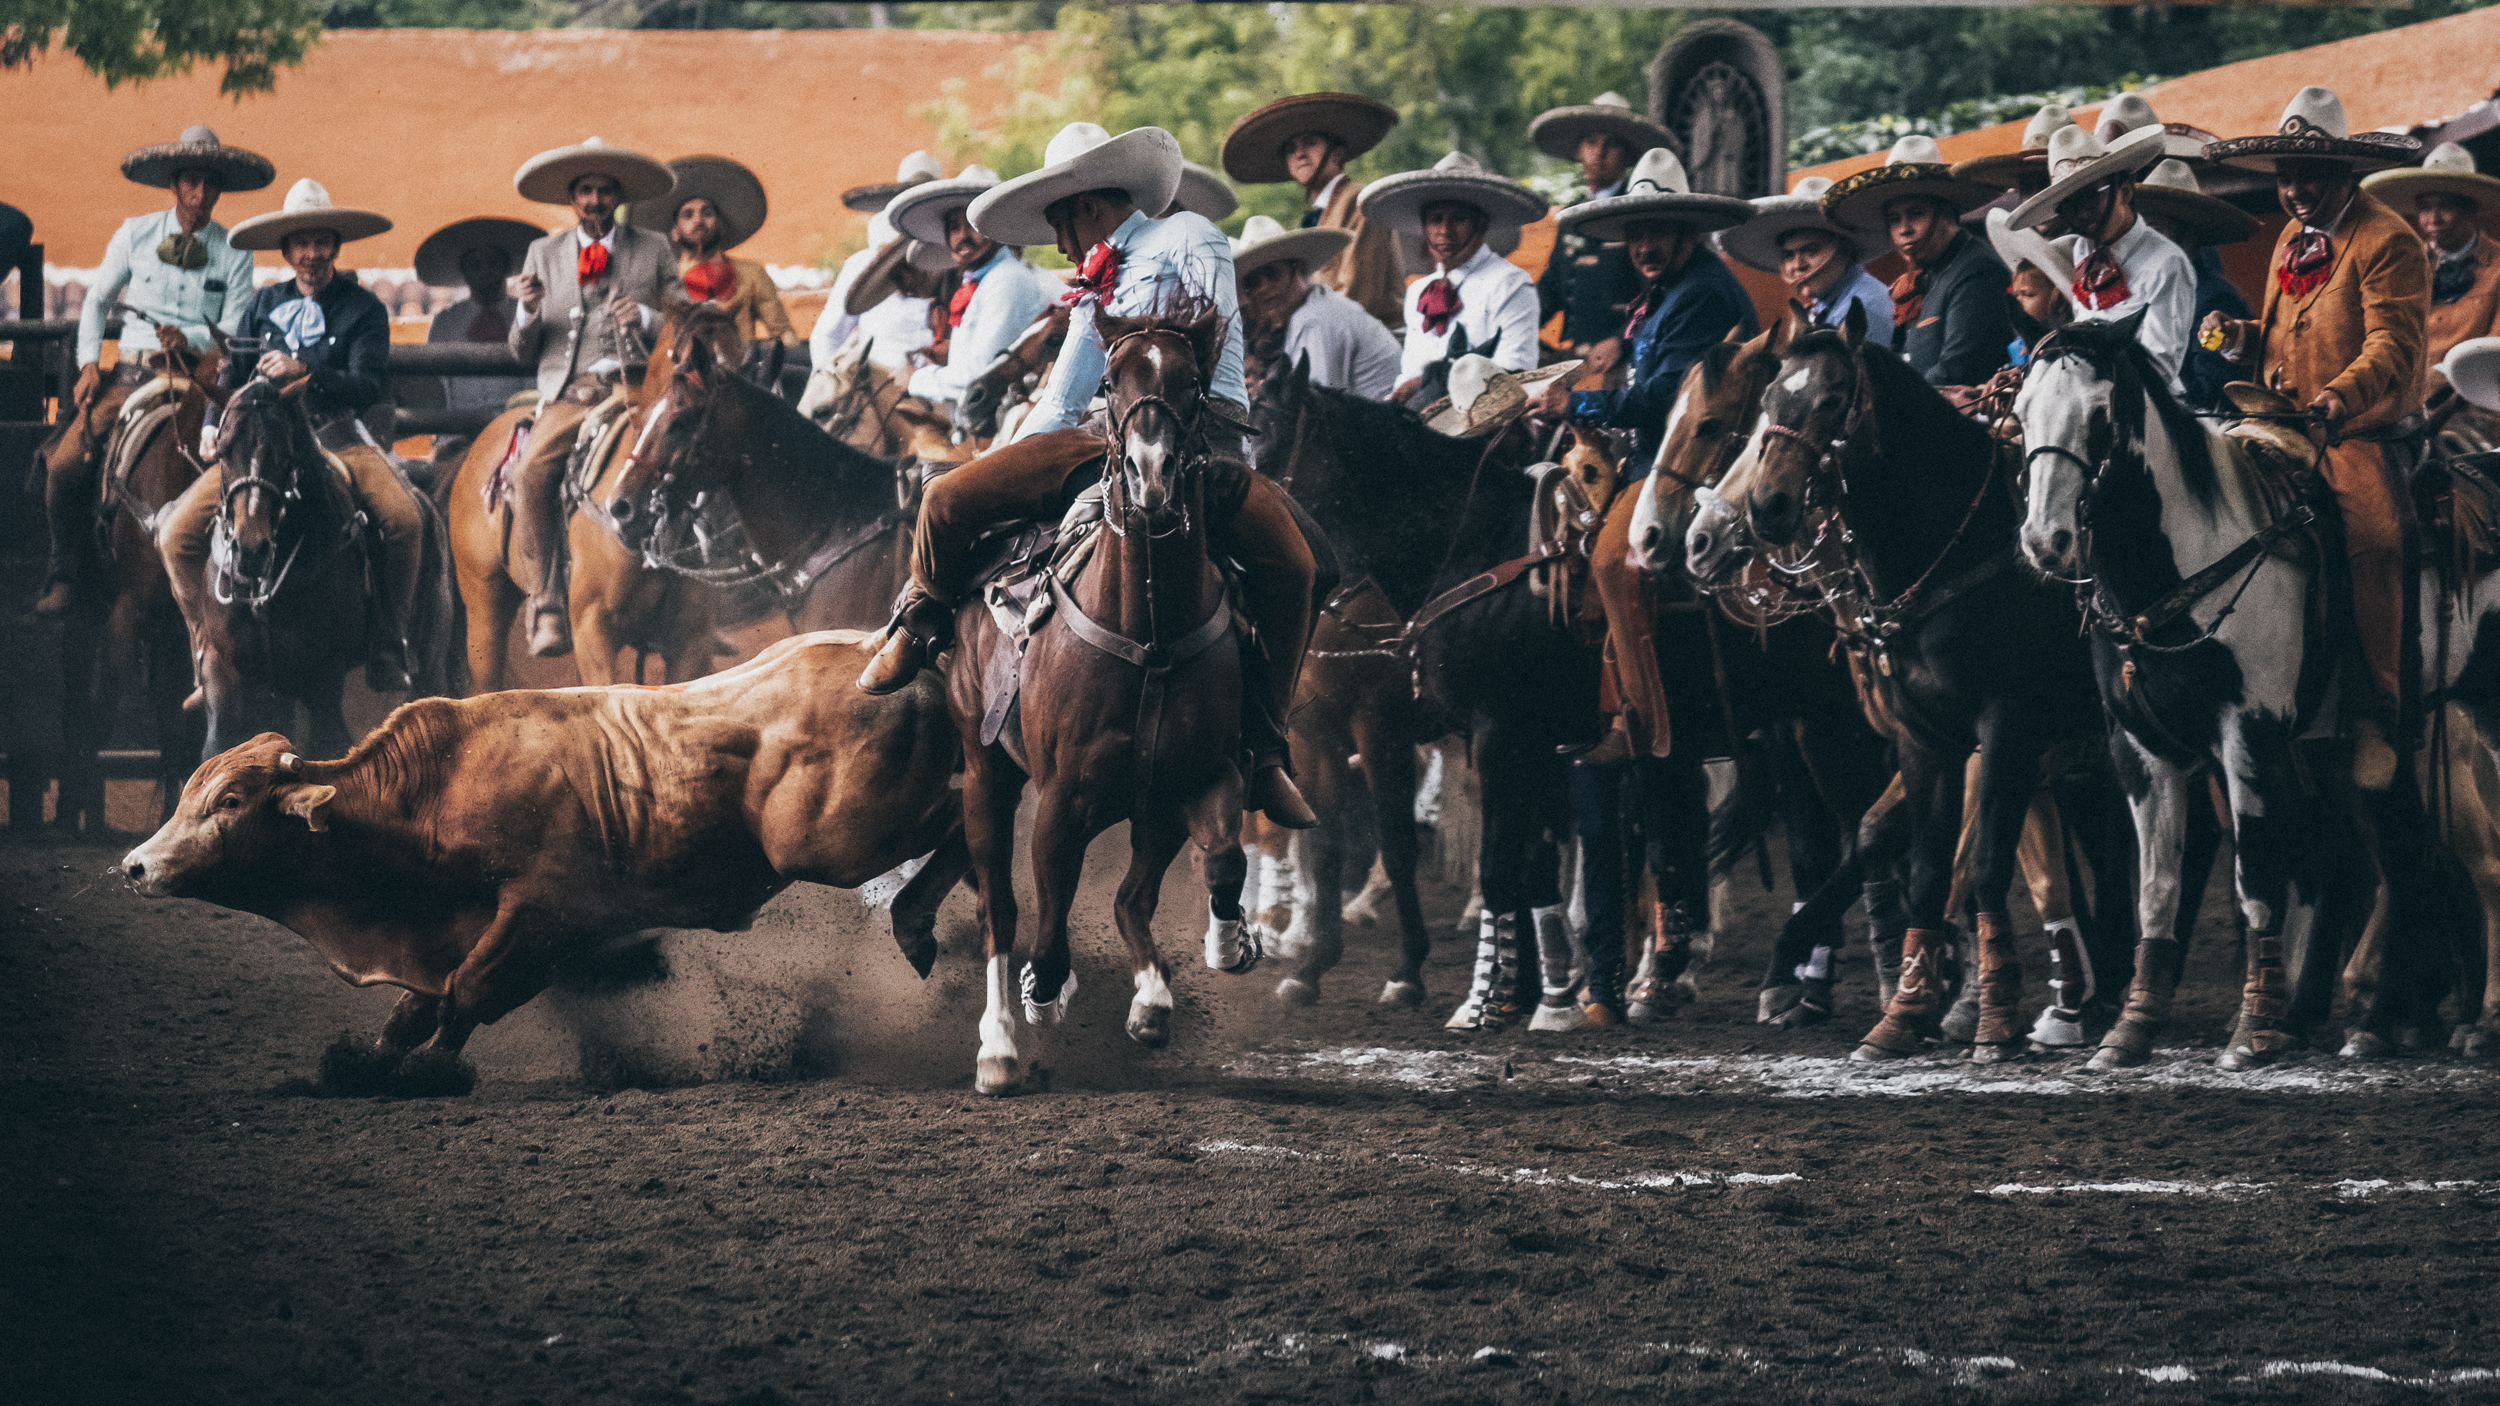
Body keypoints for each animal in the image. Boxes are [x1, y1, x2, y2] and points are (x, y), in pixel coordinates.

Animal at [121, 630, 970, 1090]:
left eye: (230, 800)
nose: (135, 866)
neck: (432, 795)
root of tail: (897, 655)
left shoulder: (543, 913)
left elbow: (466, 993)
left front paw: (430, 1074)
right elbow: (416, 1008)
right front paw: (365, 1066)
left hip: (833, 839)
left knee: (965, 814)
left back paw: (916, 921)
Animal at [195, 377, 455, 760]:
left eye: (286, 453)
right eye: (224, 451)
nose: (251, 549)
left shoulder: (322, 676)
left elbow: (329, 744)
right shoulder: (224, 669)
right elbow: (217, 748)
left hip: (430, 660)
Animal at [950, 303, 1260, 1095]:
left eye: (1190, 384)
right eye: (1114, 381)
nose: (1151, 472)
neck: (1148, 631)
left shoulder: (1197, 778)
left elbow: (1218, 861)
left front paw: (1211, 956)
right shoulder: (1061, 795)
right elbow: (1049, 910)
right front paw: (1045, 993)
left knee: (1126, 895)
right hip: (986, 771)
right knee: (1000, 906)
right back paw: (998, 1046)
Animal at [1680, 303, 2110, 1050]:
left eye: (1831, 401)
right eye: (1769, 404)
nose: (1761, 510)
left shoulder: (2003, 727)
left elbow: (1979, 857)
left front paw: (1977, 1007)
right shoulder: (1914, 736)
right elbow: (1901, 850)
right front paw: (1899, 997)